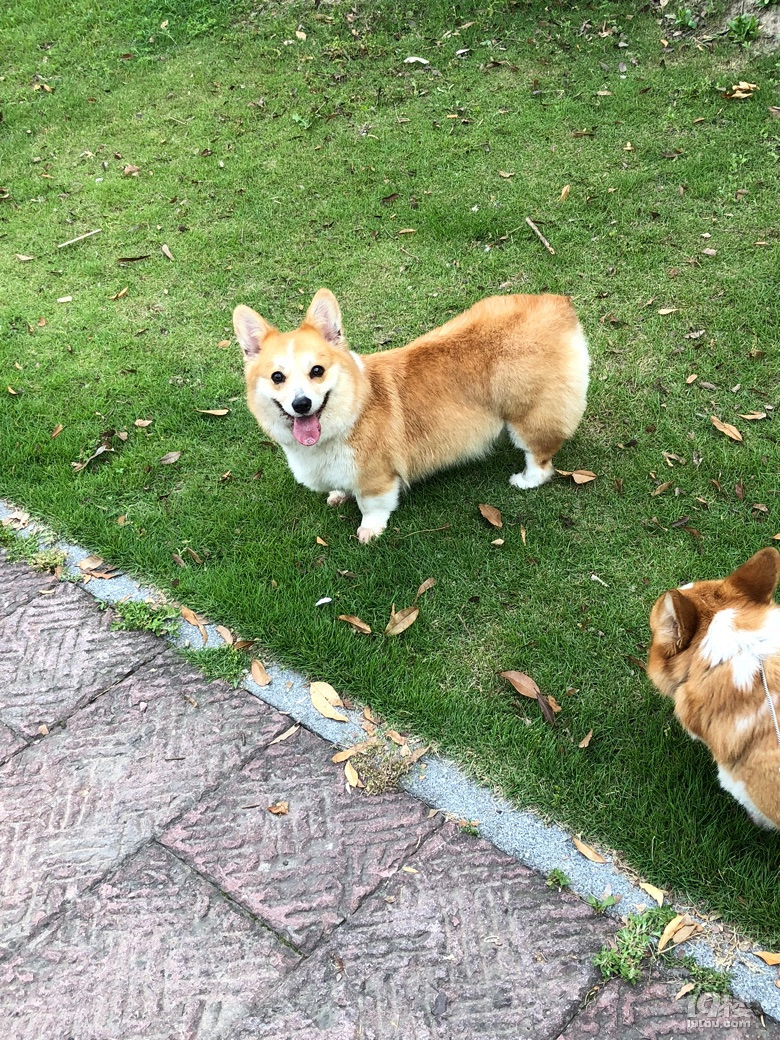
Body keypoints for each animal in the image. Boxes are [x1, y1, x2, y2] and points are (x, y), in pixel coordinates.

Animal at [235, 287, 590, 544]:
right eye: (277, 377)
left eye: (317, 371)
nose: (302, 404)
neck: (350, 412)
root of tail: (558, 307)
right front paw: (338, 495)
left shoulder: (376, 479)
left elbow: (372, 506)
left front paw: (369, 531)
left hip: (528, 416)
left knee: (540, 458)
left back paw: (525, 480)